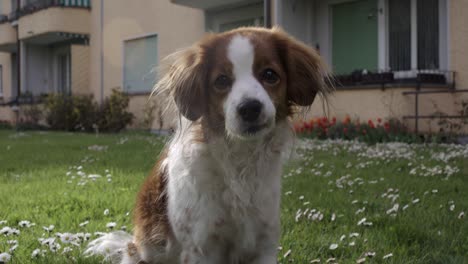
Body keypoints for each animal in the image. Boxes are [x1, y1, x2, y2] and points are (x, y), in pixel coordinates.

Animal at [85, 27, 330, 264]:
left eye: (270, 75)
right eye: (221, 80)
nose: (250, 108)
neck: (239, 163)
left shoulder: (264, 244)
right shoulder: (201, 247)